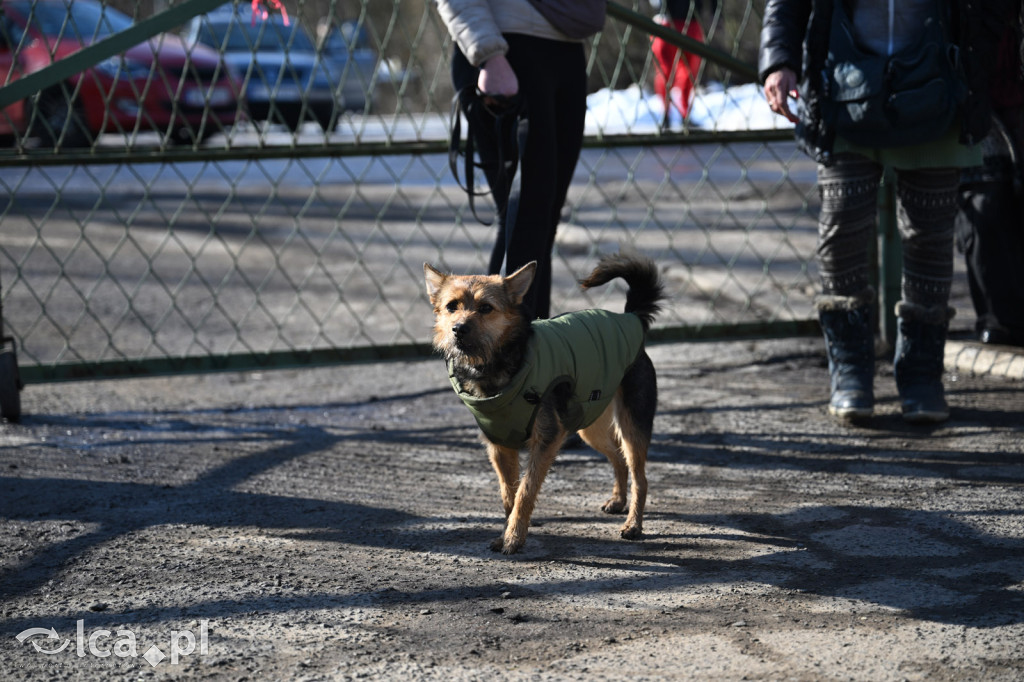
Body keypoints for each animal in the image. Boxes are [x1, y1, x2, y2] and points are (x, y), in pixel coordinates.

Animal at [423, 251, 663, 548]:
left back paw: (633, 525)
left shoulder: (547, 439)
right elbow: (508, 494)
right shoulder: (499, 446)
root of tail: (631, 317)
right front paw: (507, 531)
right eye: (451, 306)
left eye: (486, 308)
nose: (458, 329)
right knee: (619, 458)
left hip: (632, 424)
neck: (499, 362)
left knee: (640, 477)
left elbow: (525, 490)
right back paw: (618, 501)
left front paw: (514, 537)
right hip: (589, 424)